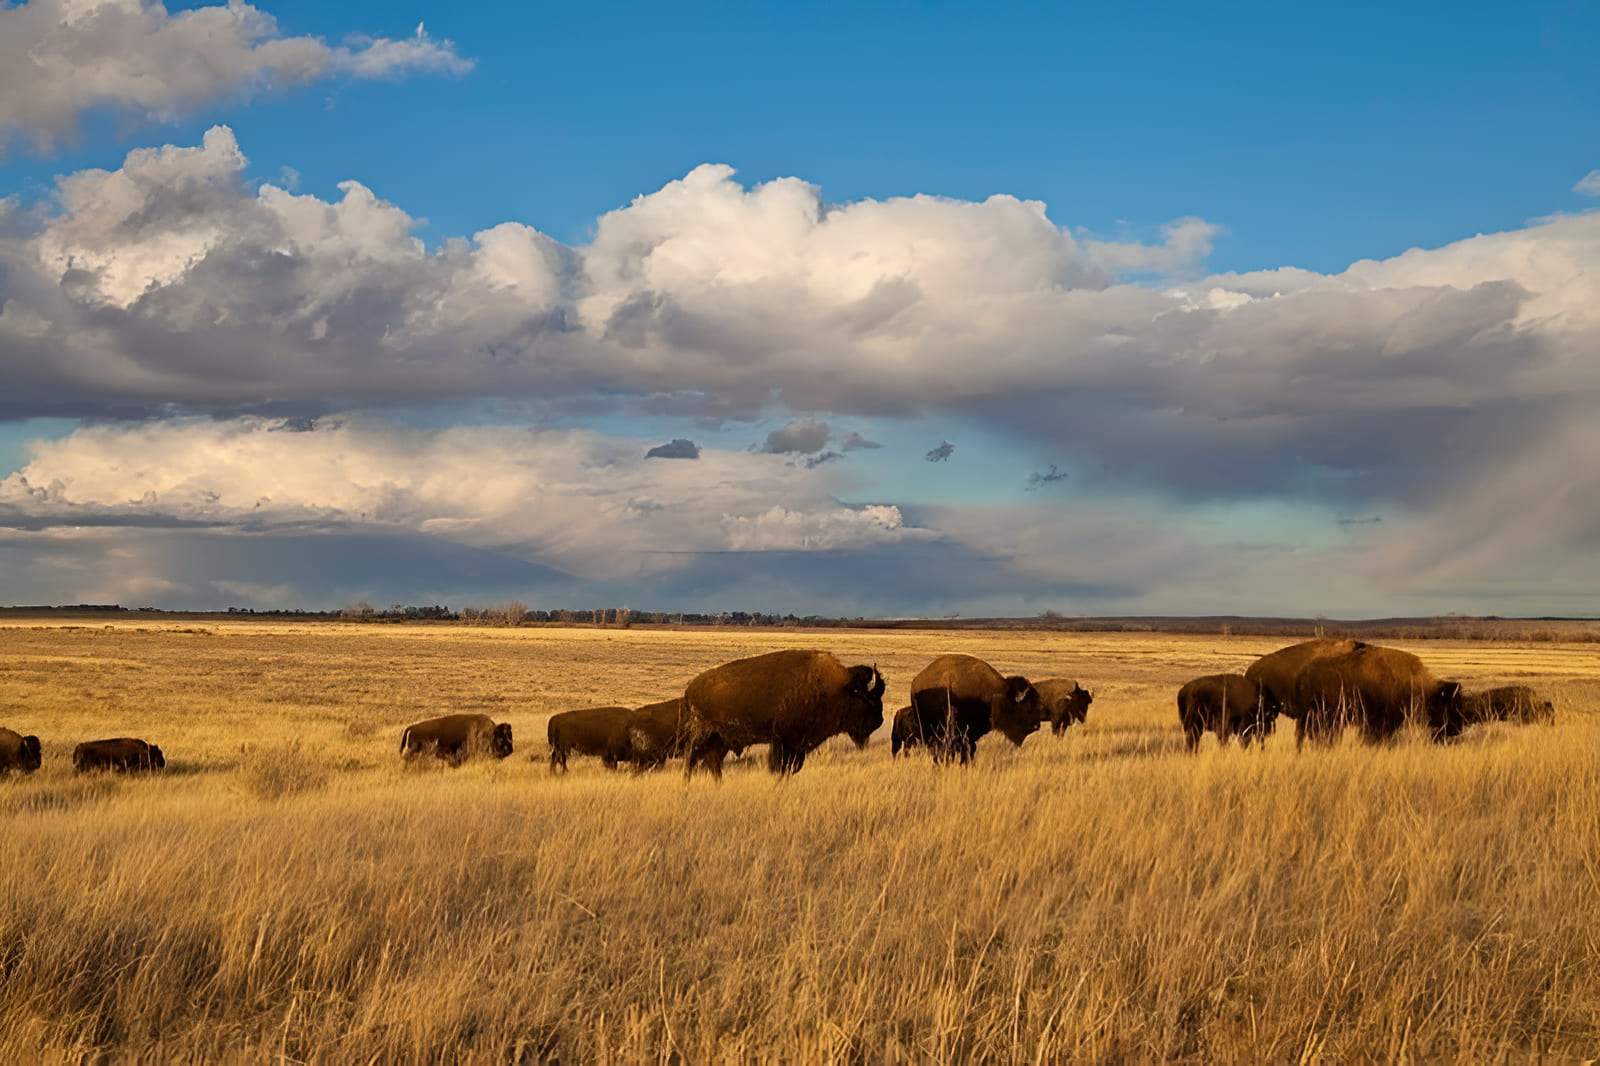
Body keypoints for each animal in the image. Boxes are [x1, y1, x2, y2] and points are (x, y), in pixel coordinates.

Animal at [681, 649, 885, 780]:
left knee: (711, 763)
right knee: (691, 760)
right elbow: (779, 768)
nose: (879, 720)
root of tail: (690, 689)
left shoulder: (795, 747)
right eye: (865, 696)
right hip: (703, 736)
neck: (839, 688)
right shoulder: (784, 742)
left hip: (720, 741)